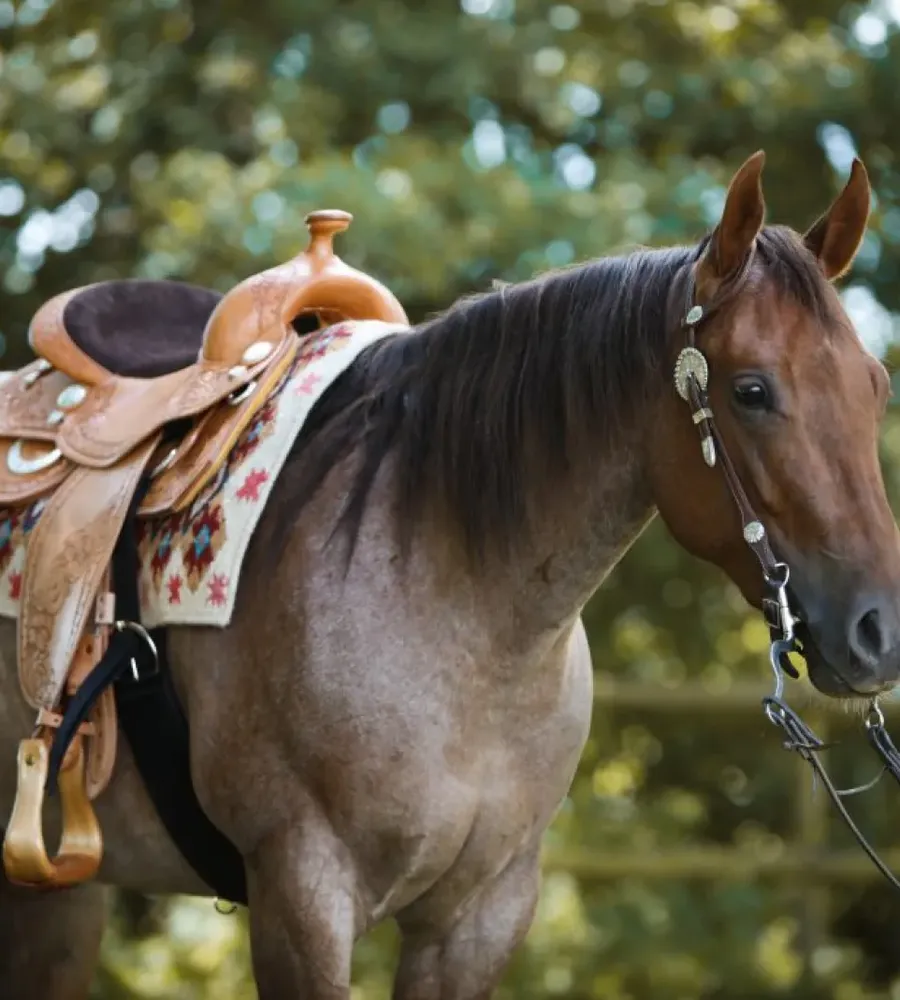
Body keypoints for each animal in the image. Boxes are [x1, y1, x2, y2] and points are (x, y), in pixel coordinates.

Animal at [0, 149, 897, 999]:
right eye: (751, 390)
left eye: (876, 385)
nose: (880, 631)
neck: (463, 622)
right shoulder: (302, 895)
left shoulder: (481, 914)